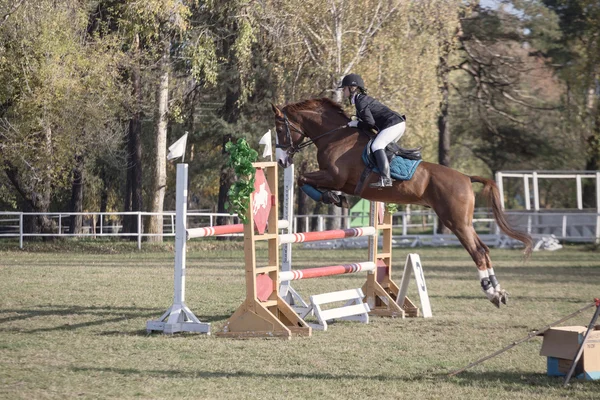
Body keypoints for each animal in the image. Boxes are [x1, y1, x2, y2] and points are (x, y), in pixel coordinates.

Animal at [274, 96, 536, 306]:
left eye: (279, 128)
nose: (281, 161)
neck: (335, 136)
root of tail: (465, 177)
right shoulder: (334, 179)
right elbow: (305, 180)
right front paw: (335, 198)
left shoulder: (334, 177)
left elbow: (302, 179)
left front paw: (332, 197)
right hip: (464, 222)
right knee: (484, 249)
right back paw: (499, 292)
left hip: (456, 222)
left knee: (478, 252)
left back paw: (491, 293)